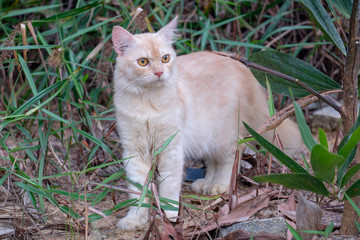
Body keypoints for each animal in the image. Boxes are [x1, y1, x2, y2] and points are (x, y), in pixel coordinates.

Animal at [111, 15, 302, 230]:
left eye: (165, 58)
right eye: (143, 62)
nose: (159, 73)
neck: (146, 104)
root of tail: (241, 65)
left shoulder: (171, 149)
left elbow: (169, 187)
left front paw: (169, 215)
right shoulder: (134, 151)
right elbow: (137, 192)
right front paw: (135, 219)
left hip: (225, 136)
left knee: (230, 161)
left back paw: (219, 185)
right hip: (208, 138)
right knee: (213, 162)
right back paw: (205, 183)